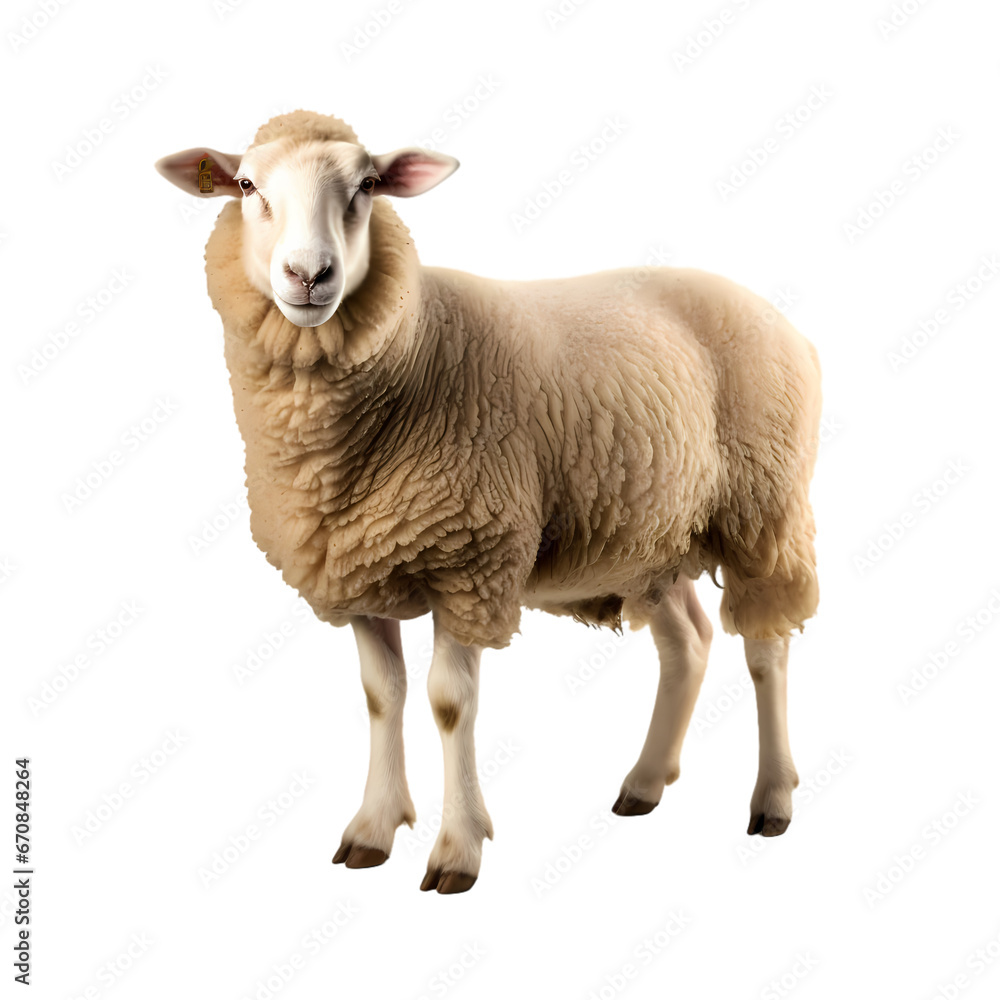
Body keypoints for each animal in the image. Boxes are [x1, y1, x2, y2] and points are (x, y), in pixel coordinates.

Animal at [156, 109, 821, 894]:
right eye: (246, 185)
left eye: (368, 185)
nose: (309, 275)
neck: (414, 352)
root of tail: (776, 317)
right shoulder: (359, 568)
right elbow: (382, 696)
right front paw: (372, 830)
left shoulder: (468, 562)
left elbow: (449, 704)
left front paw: (457, 850)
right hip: (651, 534)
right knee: (687, 643)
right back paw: (644, 783)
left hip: (763, 508)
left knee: (765, 649)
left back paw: (772, 799)